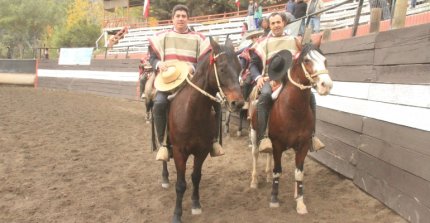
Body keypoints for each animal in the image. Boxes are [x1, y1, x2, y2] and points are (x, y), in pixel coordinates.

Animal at [161, 37, 244, 222]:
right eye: (222, 68)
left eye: (239, 68)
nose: (238, 103)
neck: (192, 113)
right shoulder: (179, 151)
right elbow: (181, 184)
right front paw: (177, 214)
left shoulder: (202, 151)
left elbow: (196, 177)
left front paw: (196, 204)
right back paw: (164, 177)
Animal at [249, 38, 332, 214]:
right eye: (306, 60)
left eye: (325, 60)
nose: (326, 85)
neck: (293, 110)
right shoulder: (278, 144)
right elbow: (278, 171)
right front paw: (274, 199)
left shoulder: (303, 145)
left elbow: (299, 173)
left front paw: (300, 200)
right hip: (253, 132)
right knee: (255, 154)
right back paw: (254, 181)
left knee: (267, 154)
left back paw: (267, 177)